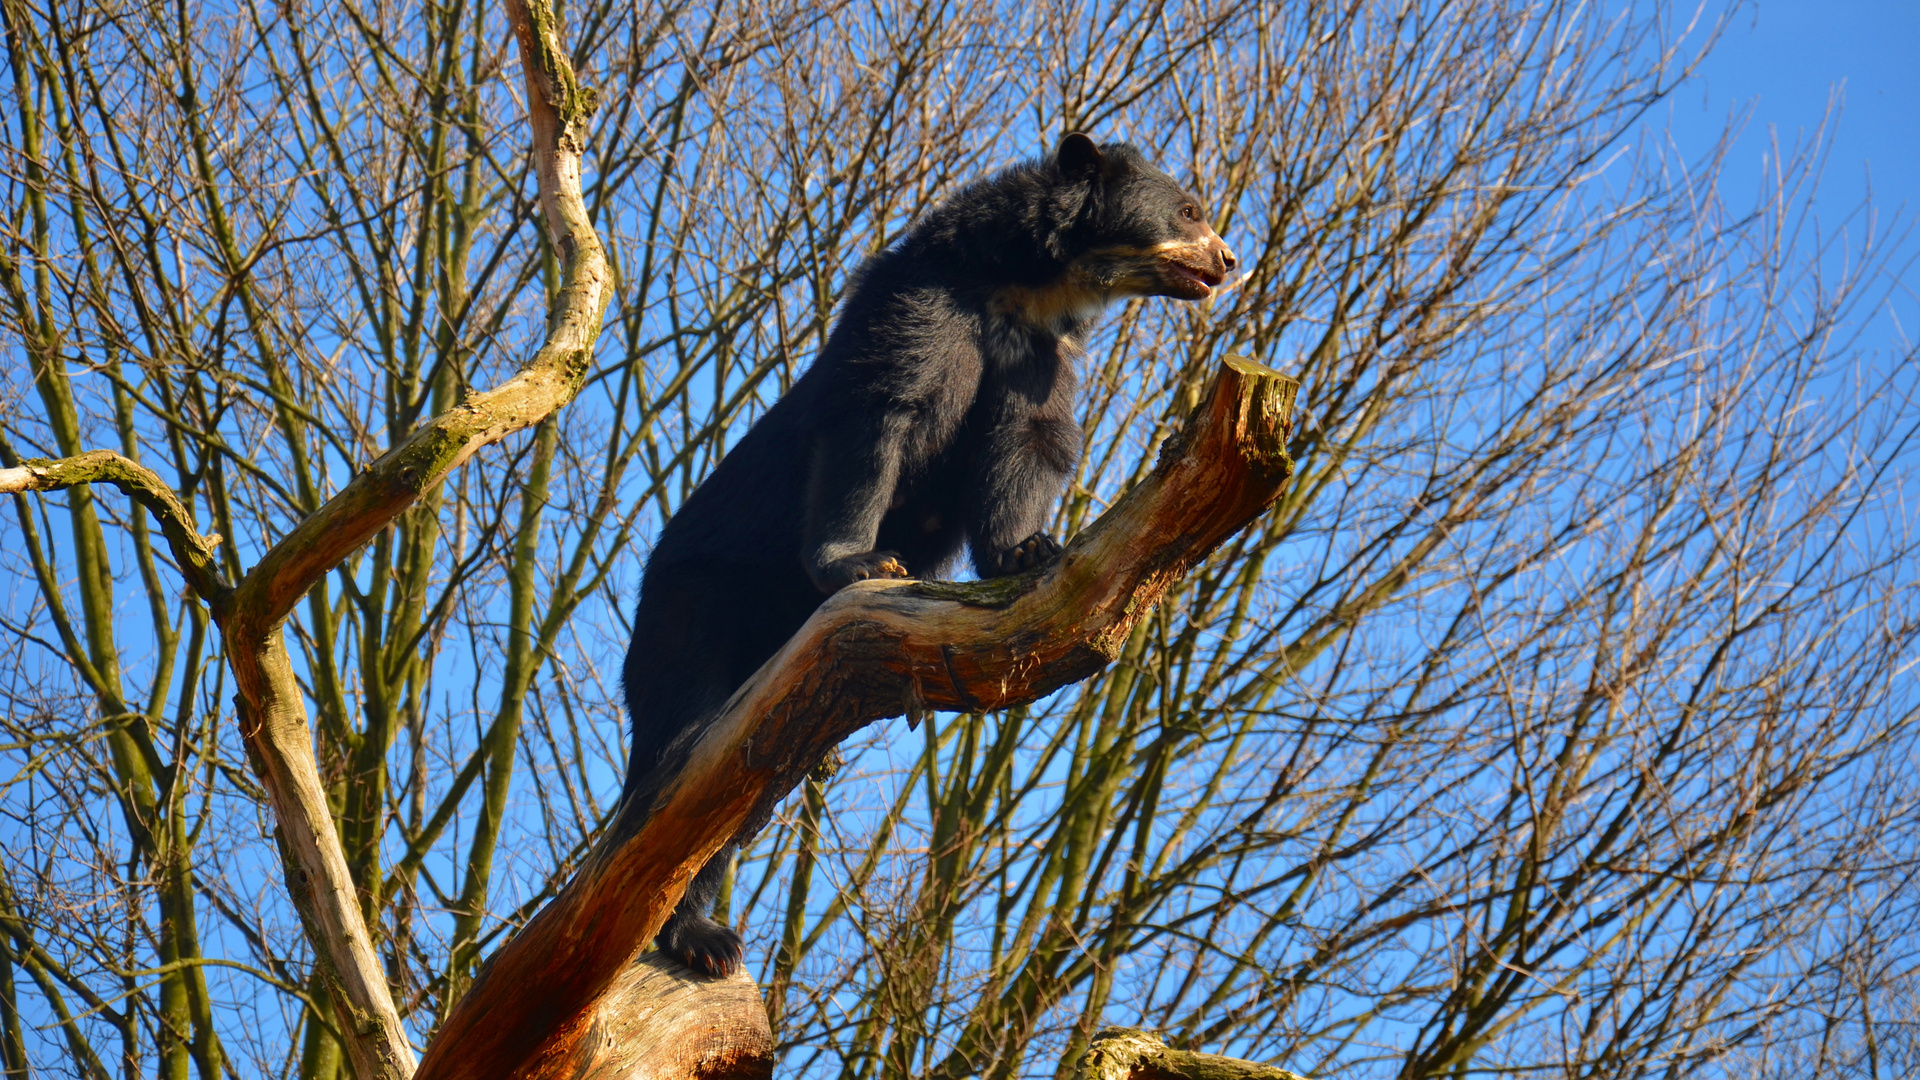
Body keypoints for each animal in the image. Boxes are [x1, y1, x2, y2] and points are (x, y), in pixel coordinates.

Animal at [622, 130, 1236, 972]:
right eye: (1191, 210)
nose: (1229, 261)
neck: (1025, 287)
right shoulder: (917, 309)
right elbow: (879, 415)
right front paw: (863, 563)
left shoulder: (1035, 357)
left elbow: (1029, 442)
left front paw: (1026, 549)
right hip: (693, 605)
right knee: (680, 750)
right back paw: (696, 929)